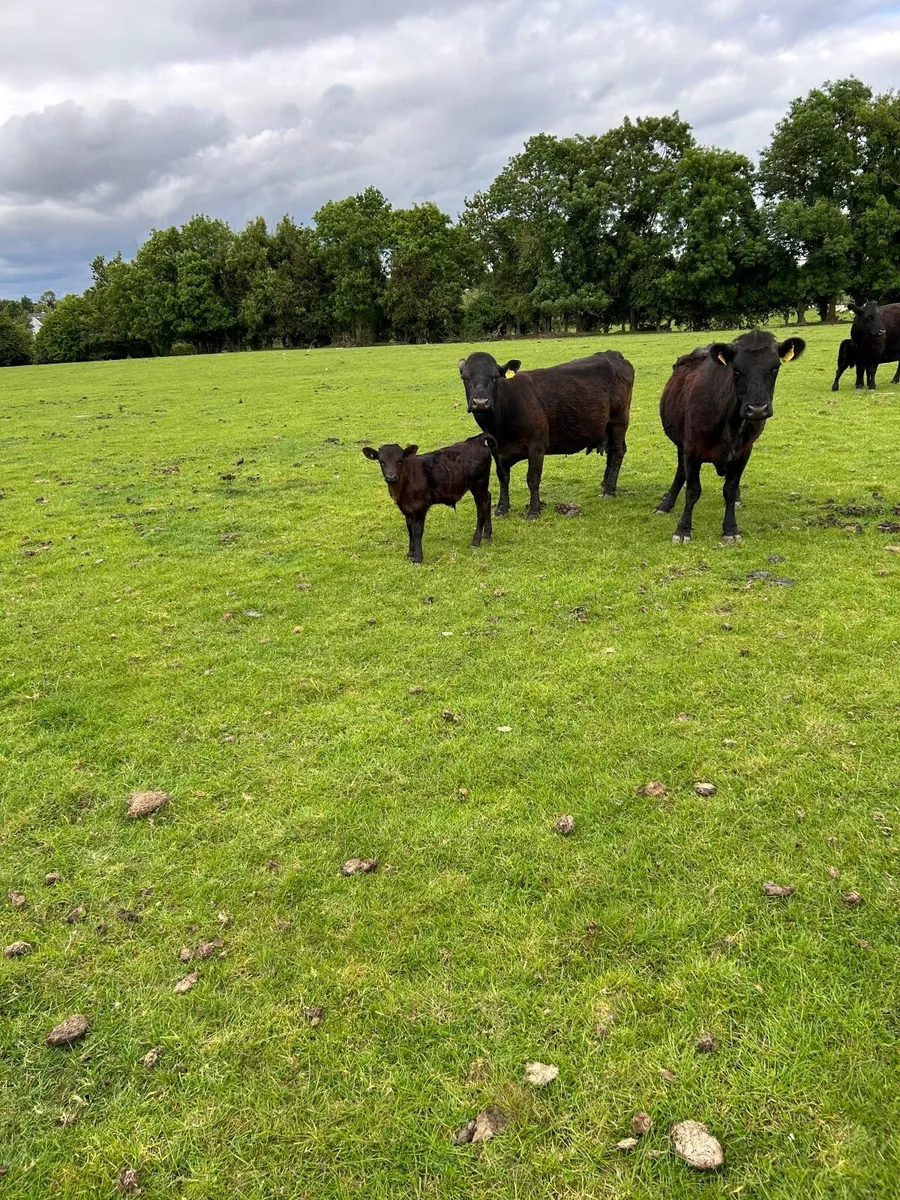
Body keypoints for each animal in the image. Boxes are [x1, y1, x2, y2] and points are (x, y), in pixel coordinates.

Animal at [362, 434, 496, 563]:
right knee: (488, 498)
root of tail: (475, 440)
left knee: (481, 507)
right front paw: (410, 553)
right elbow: (410, 529)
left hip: (479, 484)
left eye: (400, 461)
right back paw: (487, 534)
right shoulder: (406, 508)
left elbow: (417, 531)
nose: (391, 477)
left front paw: (418, 557)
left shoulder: (420, 506)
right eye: (381, 462)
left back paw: (476, 540)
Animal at [457, 350, 634, 518]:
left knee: (617, 451)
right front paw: (501, 508)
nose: (480, 403)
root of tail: (612, 354)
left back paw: (609, 490)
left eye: (495, 377)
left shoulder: (537, 446)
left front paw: (534, 510)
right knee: (612, 451)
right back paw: (605, 484)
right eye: (465, 378)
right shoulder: (496, 449)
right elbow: (503, 477)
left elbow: (533, 479)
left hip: (619, 421)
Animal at [655, 330, 805, 544]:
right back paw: (666, 503)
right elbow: (692, 490)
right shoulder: (691, 449)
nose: (757, 409)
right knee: (681, 472)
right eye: (736, 369)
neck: (730, 424)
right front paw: (683, 530)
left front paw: (730, 529)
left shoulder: (744, 451)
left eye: (775, 367)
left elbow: (730, 489)